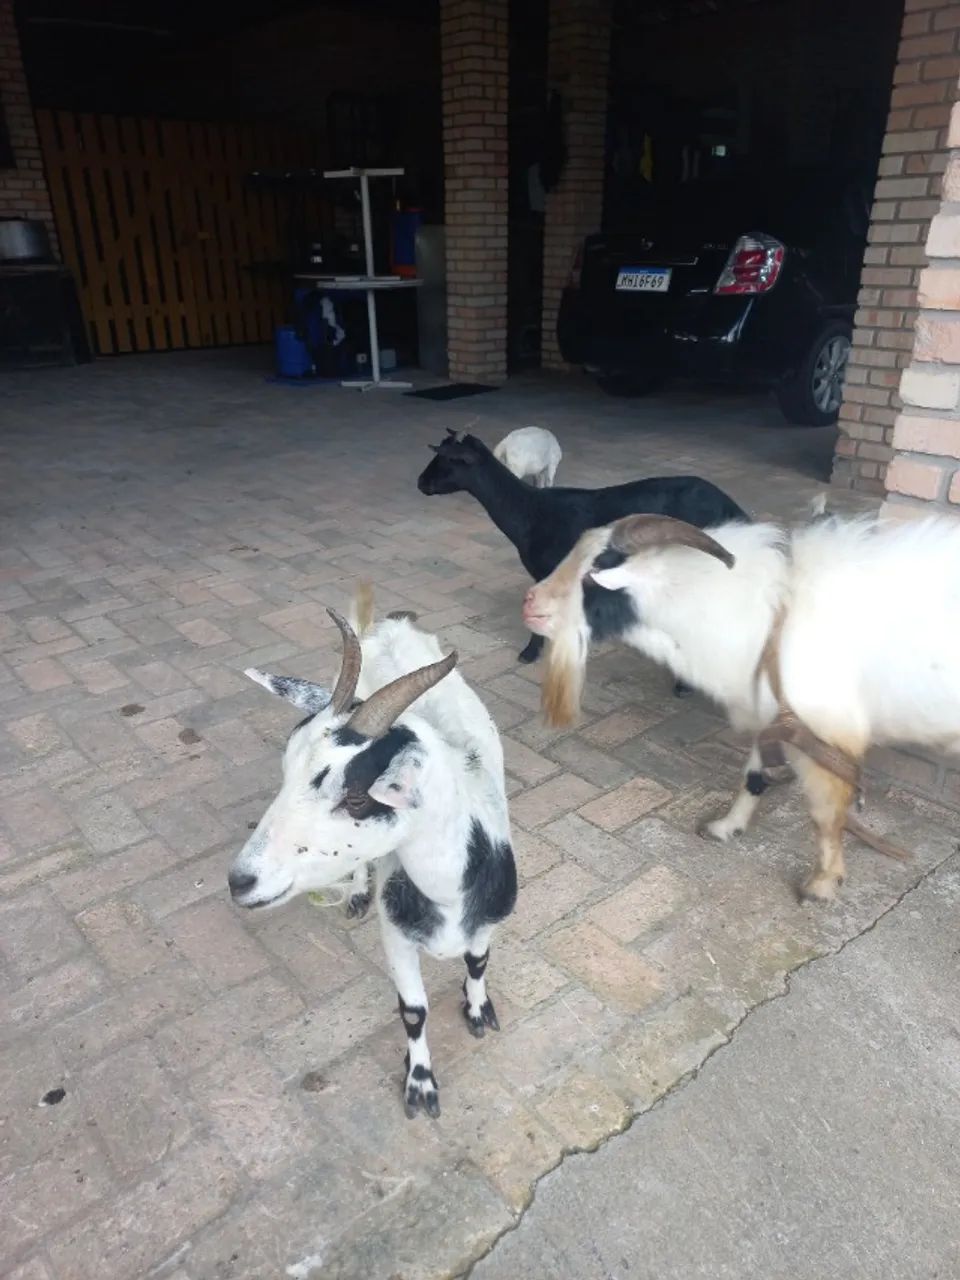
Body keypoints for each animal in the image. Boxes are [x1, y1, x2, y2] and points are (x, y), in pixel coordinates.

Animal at [228, 593, 517, 1119]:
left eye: (359, 798)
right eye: (286, 771)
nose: (241, 881)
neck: (448, 895)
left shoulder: (489, 923)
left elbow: (478, 963)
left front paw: (478, 1010)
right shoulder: (396, 937)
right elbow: (413, 1011)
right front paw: (420, 1084)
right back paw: (360, 891)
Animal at [523, 512, 960, 903]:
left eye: (593, 573)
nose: (530, 603)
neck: (768, 621)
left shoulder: (826, 730)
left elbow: (825, 814)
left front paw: (821, 886)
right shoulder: (777, 719)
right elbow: (754, 774)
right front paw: (725, 827)